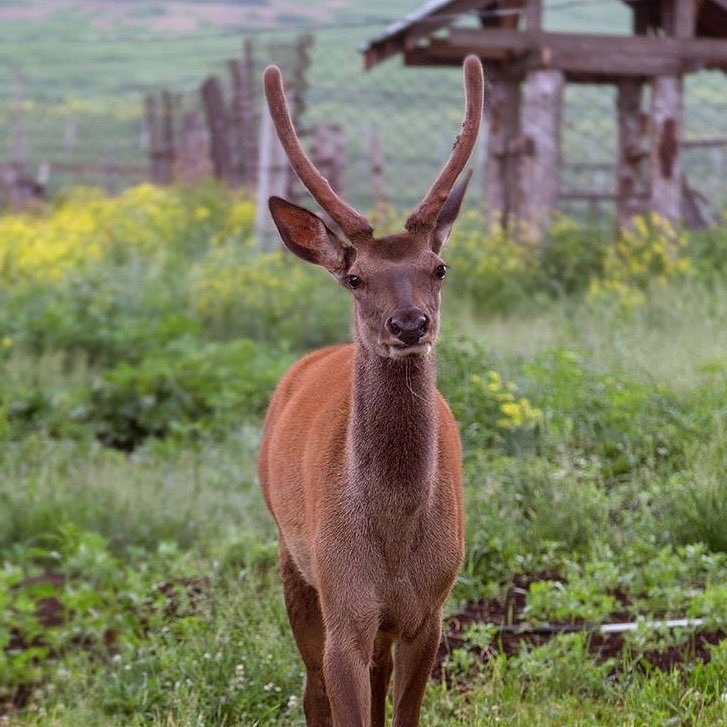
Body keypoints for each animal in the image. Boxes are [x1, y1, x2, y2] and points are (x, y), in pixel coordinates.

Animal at [258, 54, 486, 724]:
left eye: (439, 268)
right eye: (355, 277)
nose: (409, 324)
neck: (394, 536)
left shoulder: (431, 610)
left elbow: (403, 709)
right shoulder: (344, 607)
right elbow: (340, 697)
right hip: (290, 552)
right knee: (310, 686)